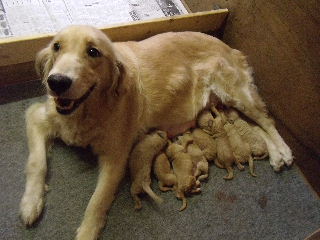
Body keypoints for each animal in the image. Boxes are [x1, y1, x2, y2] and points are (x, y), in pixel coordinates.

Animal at [18, 25, 292, 239]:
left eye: (93, 52)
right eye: (56, 47)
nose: (56, 82)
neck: (88, 108)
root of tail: (228, 46)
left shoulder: (116, 157)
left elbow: (97, 202)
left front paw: (86, 232)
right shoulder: (38, 116)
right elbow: (36, 163)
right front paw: (31, 203)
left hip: (237, 95)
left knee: (267, 121)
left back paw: (284, 151)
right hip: (230, 106)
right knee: (255, 125)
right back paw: (275, 155)